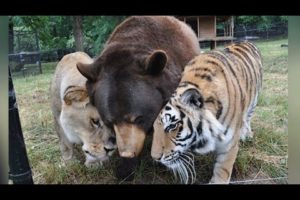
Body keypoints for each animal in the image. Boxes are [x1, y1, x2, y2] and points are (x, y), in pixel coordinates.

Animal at [151, 41, 262, 184]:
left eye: (172, 126)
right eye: (154, 127)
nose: (155, 158)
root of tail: (246, 41)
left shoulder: (228, 145)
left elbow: (222, 171)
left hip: (254, 100)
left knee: (247, 117)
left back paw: (247, 134)